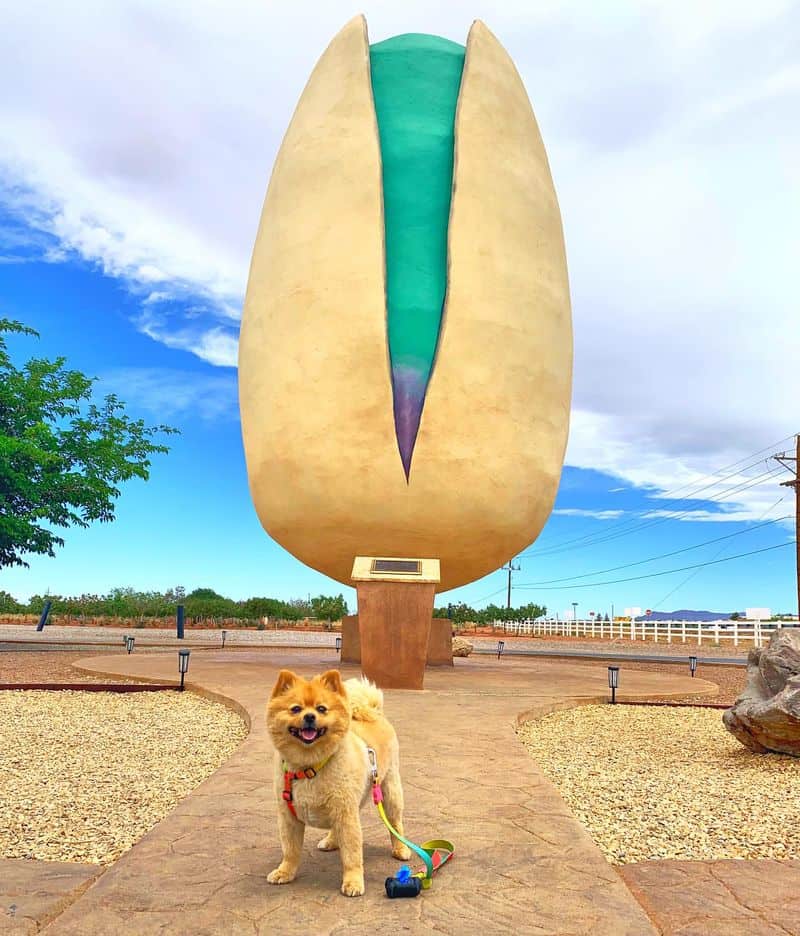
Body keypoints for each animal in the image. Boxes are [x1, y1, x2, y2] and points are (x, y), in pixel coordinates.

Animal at [266, 668, 410, 896]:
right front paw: (285, 872)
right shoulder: (289, 818)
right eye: (296, 709)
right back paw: (332, 840)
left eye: (322, 709)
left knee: (395, 824)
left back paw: (401, 849)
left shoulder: (346, 815)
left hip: (389, 792)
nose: (309, 716)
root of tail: (374, 712)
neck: (310, 768)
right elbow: (290, 850)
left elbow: (352, 854)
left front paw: (353, 881)